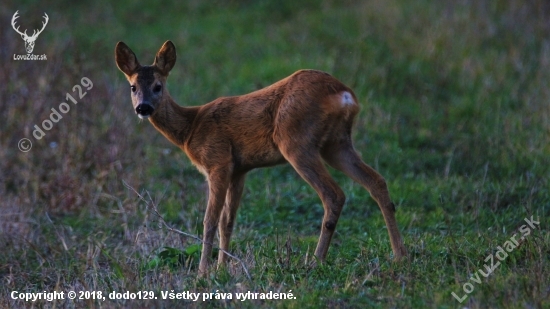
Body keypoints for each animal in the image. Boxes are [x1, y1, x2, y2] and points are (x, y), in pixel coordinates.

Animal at [115, 40, 410, 274]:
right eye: (132, 87)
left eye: (158, 86)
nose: (143, 108)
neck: (191, 128)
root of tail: (345, 95)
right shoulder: (239, 170)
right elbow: (228, 221)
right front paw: (222, 267)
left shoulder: (218, 162)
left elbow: (210, 220)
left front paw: (202, 272)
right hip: (336, 143)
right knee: (377, 181)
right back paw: (399, 255)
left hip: (297, 142)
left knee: (334, 194)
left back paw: (315, 261)